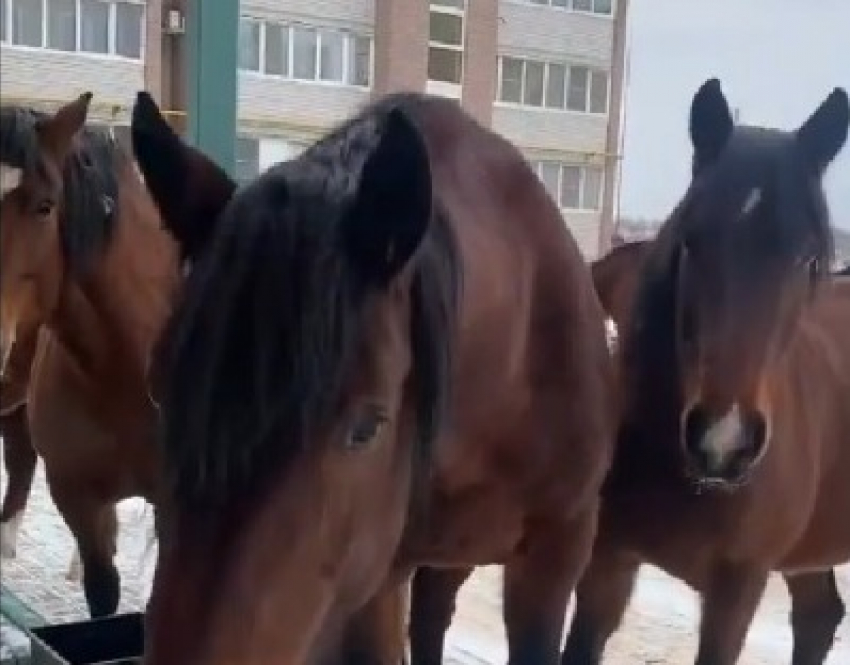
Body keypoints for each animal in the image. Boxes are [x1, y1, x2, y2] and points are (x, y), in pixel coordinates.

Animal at [560, 79, 844, 664]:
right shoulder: (608, 563)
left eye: (808, 258)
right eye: (692, 240)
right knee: (818, 615)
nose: (724, 440)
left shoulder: (738, 589)